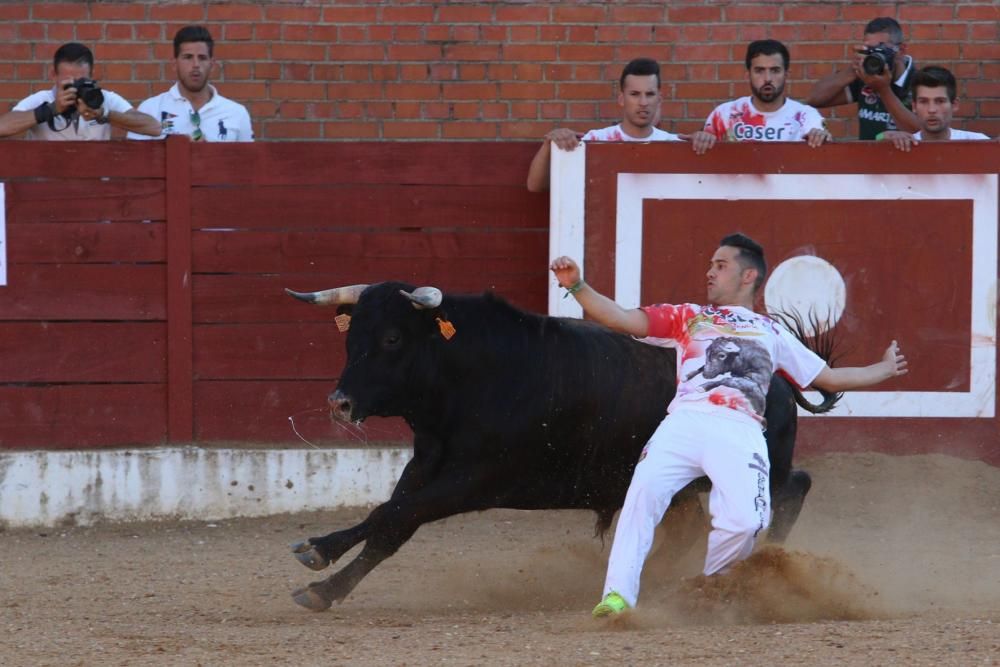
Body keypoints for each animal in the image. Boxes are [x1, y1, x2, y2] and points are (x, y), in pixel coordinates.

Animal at [284, 280, 836, 612]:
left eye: (393, 338)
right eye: (351, 336)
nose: (339, 403)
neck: (470, 373)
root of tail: (781, 375)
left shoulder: (474, 479)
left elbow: (395, 517)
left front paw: (321, 576)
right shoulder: (426, 463)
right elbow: (388, 518)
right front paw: (320, 564)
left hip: (758, 467)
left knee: (795, 485)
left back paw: (763, 564)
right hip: (678, 484)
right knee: (693, 527)